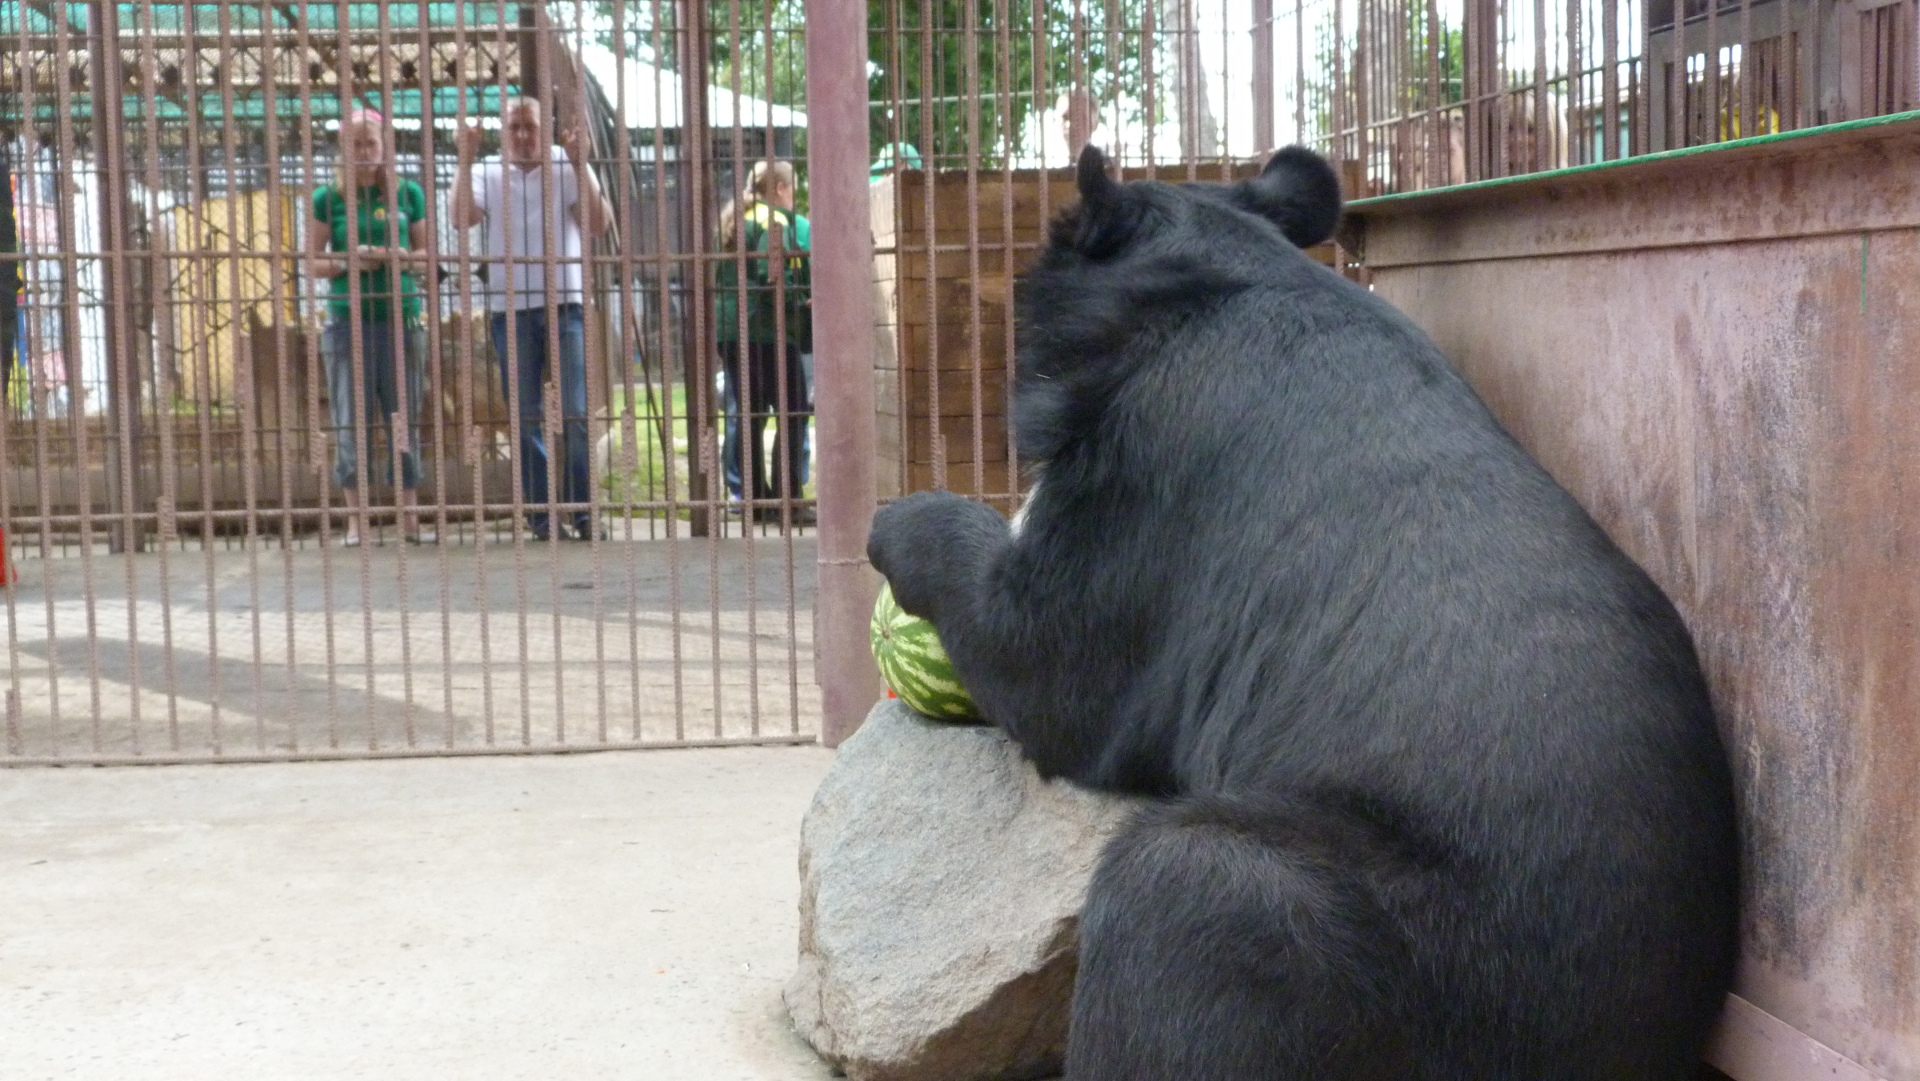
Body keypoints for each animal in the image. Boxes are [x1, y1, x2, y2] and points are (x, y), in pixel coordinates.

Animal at [864, 144, 1740, 1080]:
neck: (1212, 283)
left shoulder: (1152, 472)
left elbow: (1051, 663)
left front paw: (899, 523)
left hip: (1400, 945)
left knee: (1177, 889)